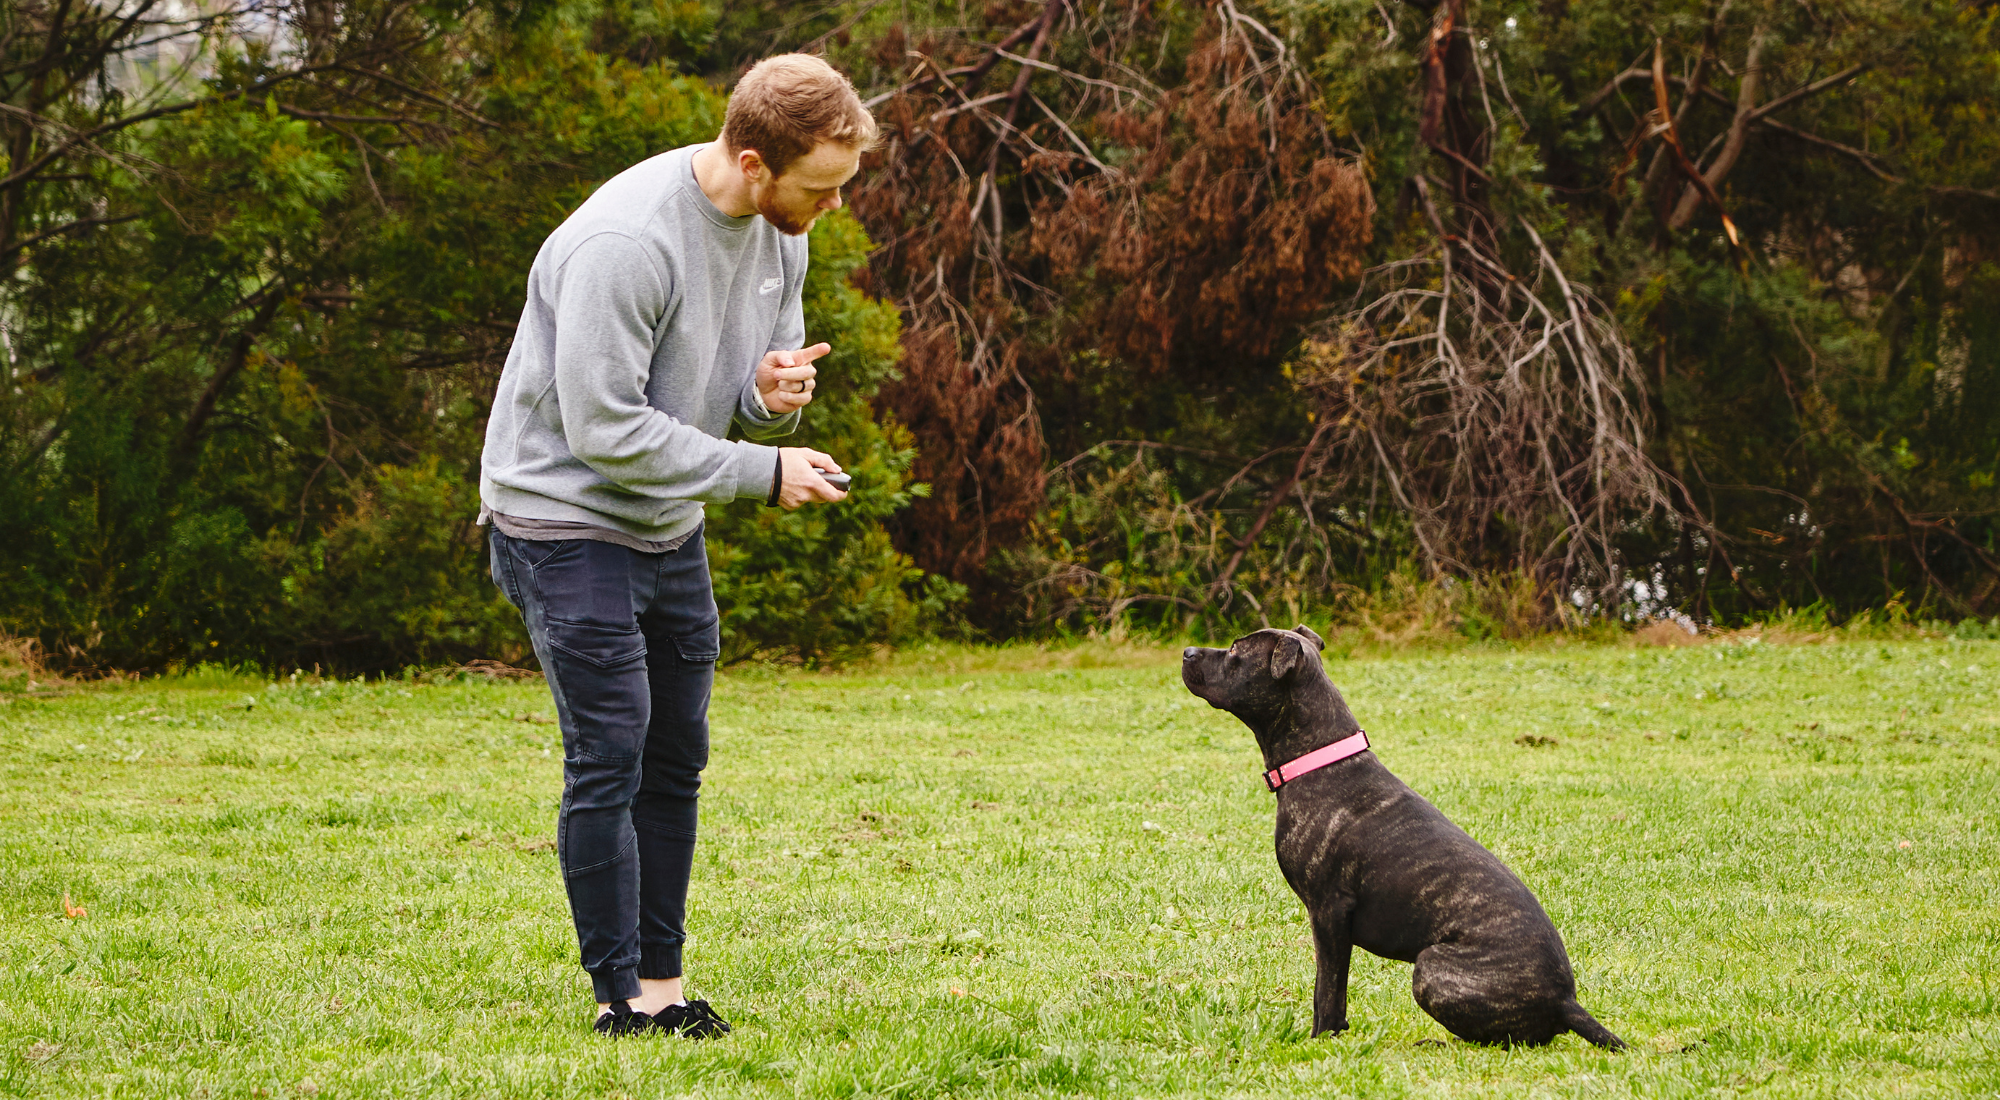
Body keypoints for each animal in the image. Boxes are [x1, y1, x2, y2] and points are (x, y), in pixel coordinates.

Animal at [1184, 628, 1624, 1056]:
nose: (1188, 651)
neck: (1320, 759)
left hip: (1430, 968)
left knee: (1506, 1040)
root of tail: (1566, 1001)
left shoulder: (1328, 912)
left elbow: (1327, 991)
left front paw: (1320, 1040)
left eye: (1236, 650)